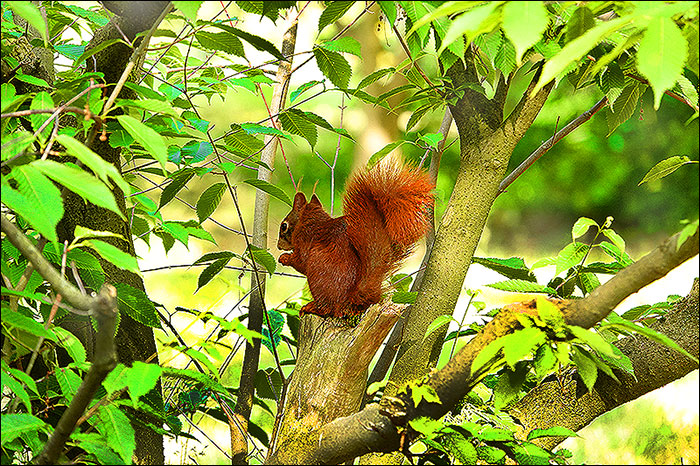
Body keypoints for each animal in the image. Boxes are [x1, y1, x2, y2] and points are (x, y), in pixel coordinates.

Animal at [277, 162, 434, 319]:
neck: (310, 222)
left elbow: (301, 263)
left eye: (284, 226)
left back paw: (312, 308)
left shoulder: (305, 241)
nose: (278, 246)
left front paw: (285, 258)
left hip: (317, 267)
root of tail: (349, 300)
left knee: (328, 309)